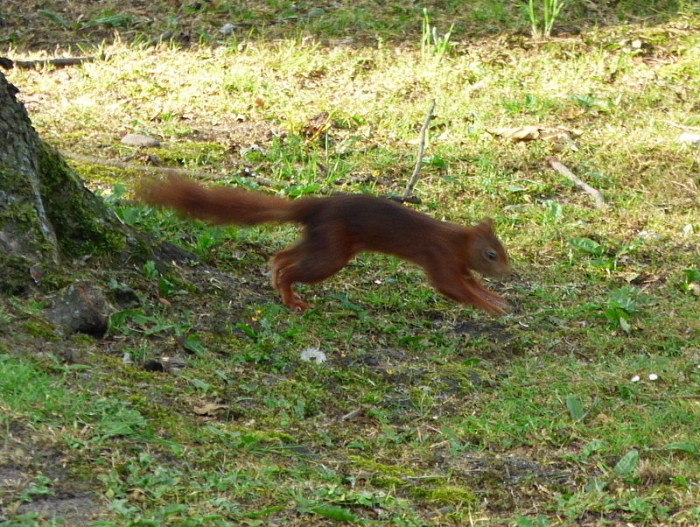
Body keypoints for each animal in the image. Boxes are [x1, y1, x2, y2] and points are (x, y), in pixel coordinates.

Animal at [137, 176, 511, 315]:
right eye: (491, 254)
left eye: (504, 251)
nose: (508, 272)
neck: (458, 240)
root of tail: (315, 207)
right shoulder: (439, 256)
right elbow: (452, 287)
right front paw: (490, 306)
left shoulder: (459, 265)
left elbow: (471, 284)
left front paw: (497, 299)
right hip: (332, 252)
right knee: (292, 268)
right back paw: (290, 297)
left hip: (323, 242)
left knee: (282, 256)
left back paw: (278, 283)